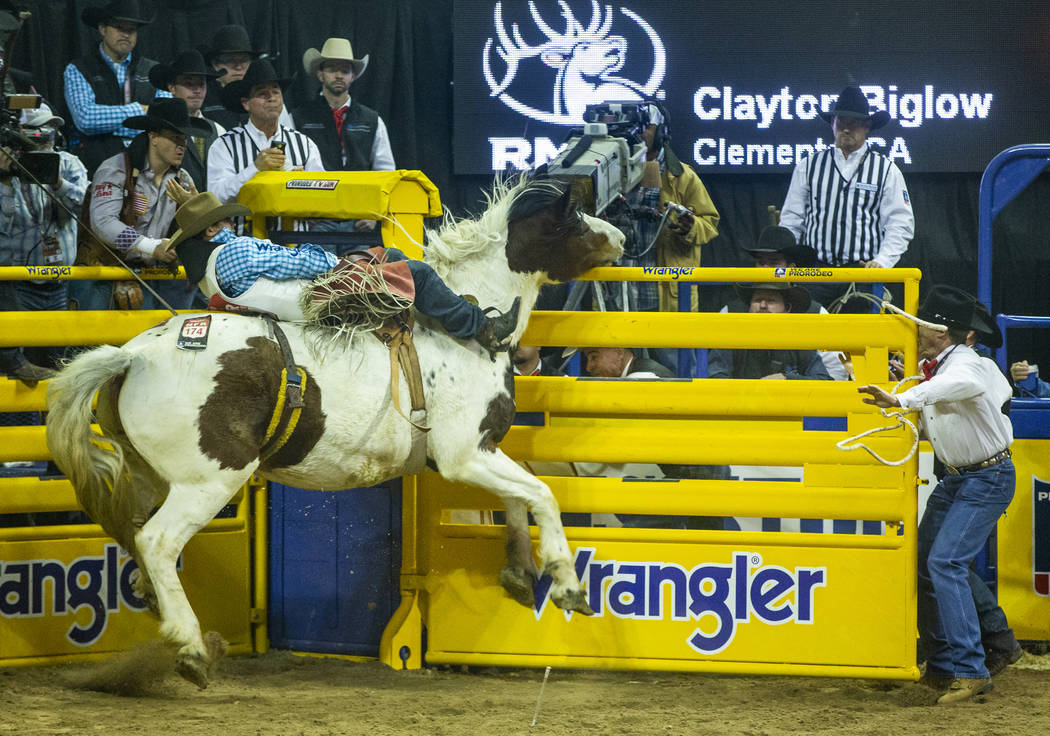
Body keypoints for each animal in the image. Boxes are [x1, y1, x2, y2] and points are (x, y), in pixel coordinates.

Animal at [45, 179, 621, 688]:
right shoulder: (463, 454)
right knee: (158, 541)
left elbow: (519, 497)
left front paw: (520, 573)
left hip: (150, 475)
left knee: (136, 534)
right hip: (208, 481)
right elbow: (541, 494)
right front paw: (566, 585)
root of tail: (134, 356)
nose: (617, 236)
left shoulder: (480, 451)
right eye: (574, 221)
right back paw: (190, 650)